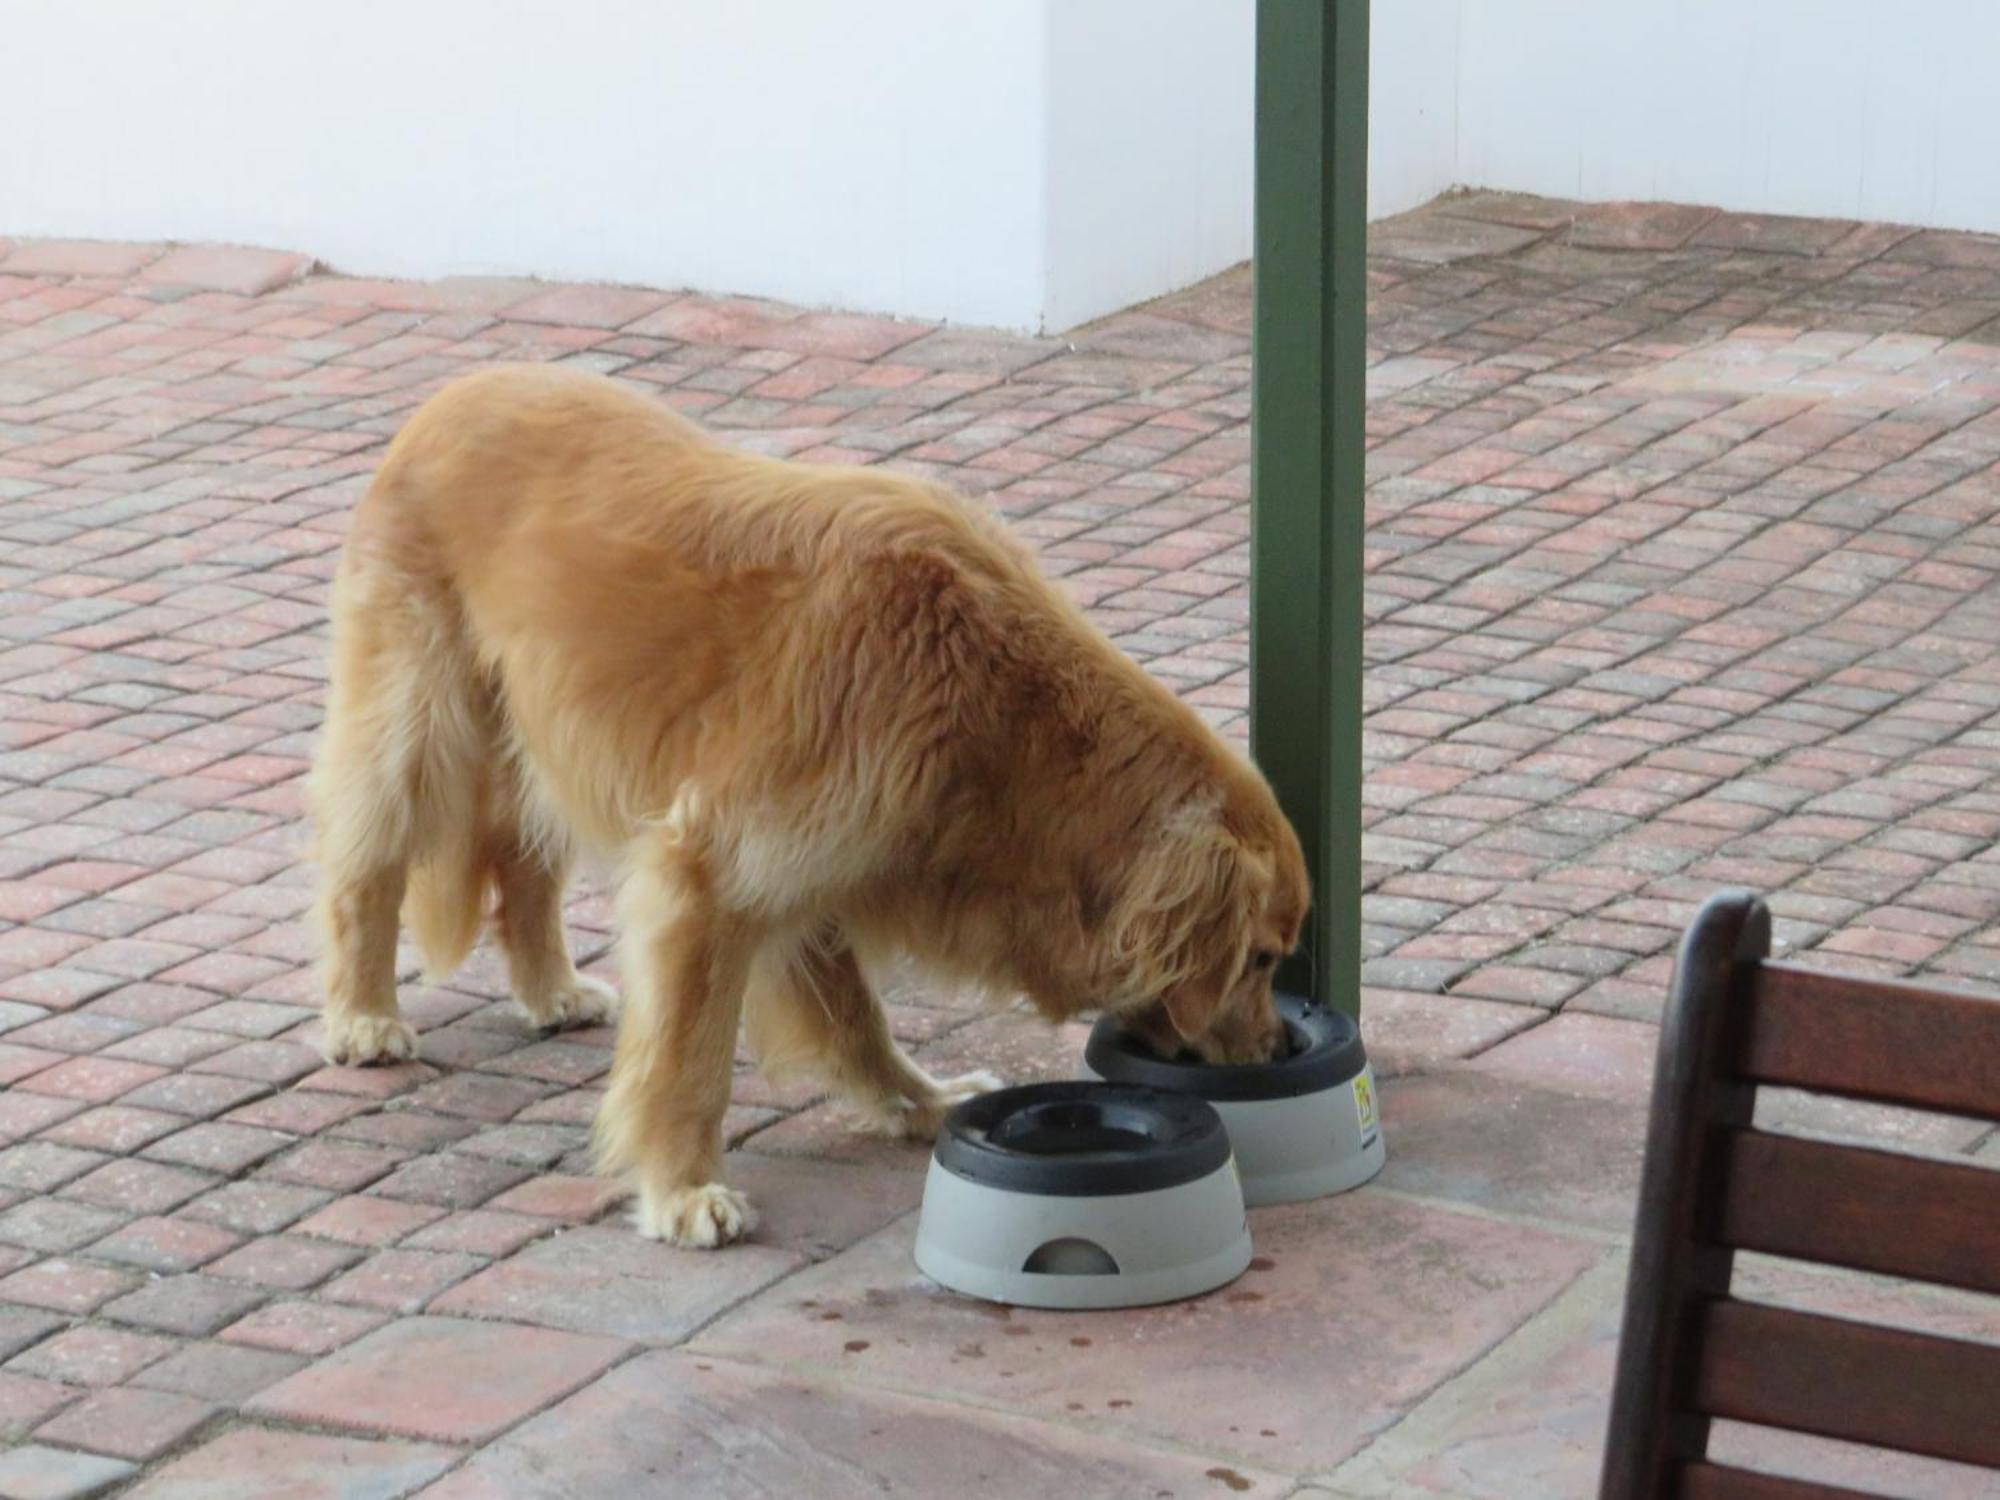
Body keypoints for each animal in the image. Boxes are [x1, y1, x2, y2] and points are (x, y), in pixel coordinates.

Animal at [312, 370, 1312, 1248]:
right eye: (1261, 960)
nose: (1275, 1052)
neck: (999, 705)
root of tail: (453, 394)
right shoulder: (712, 871)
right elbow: (690, 1058)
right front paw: (684, 1191)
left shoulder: (815, 863)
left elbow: (856, 1019)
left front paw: (919, 1105)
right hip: (423, 719)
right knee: (367, 865)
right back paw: (363, 1017)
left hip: (542, 735)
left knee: (521, 865)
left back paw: (550, 990)